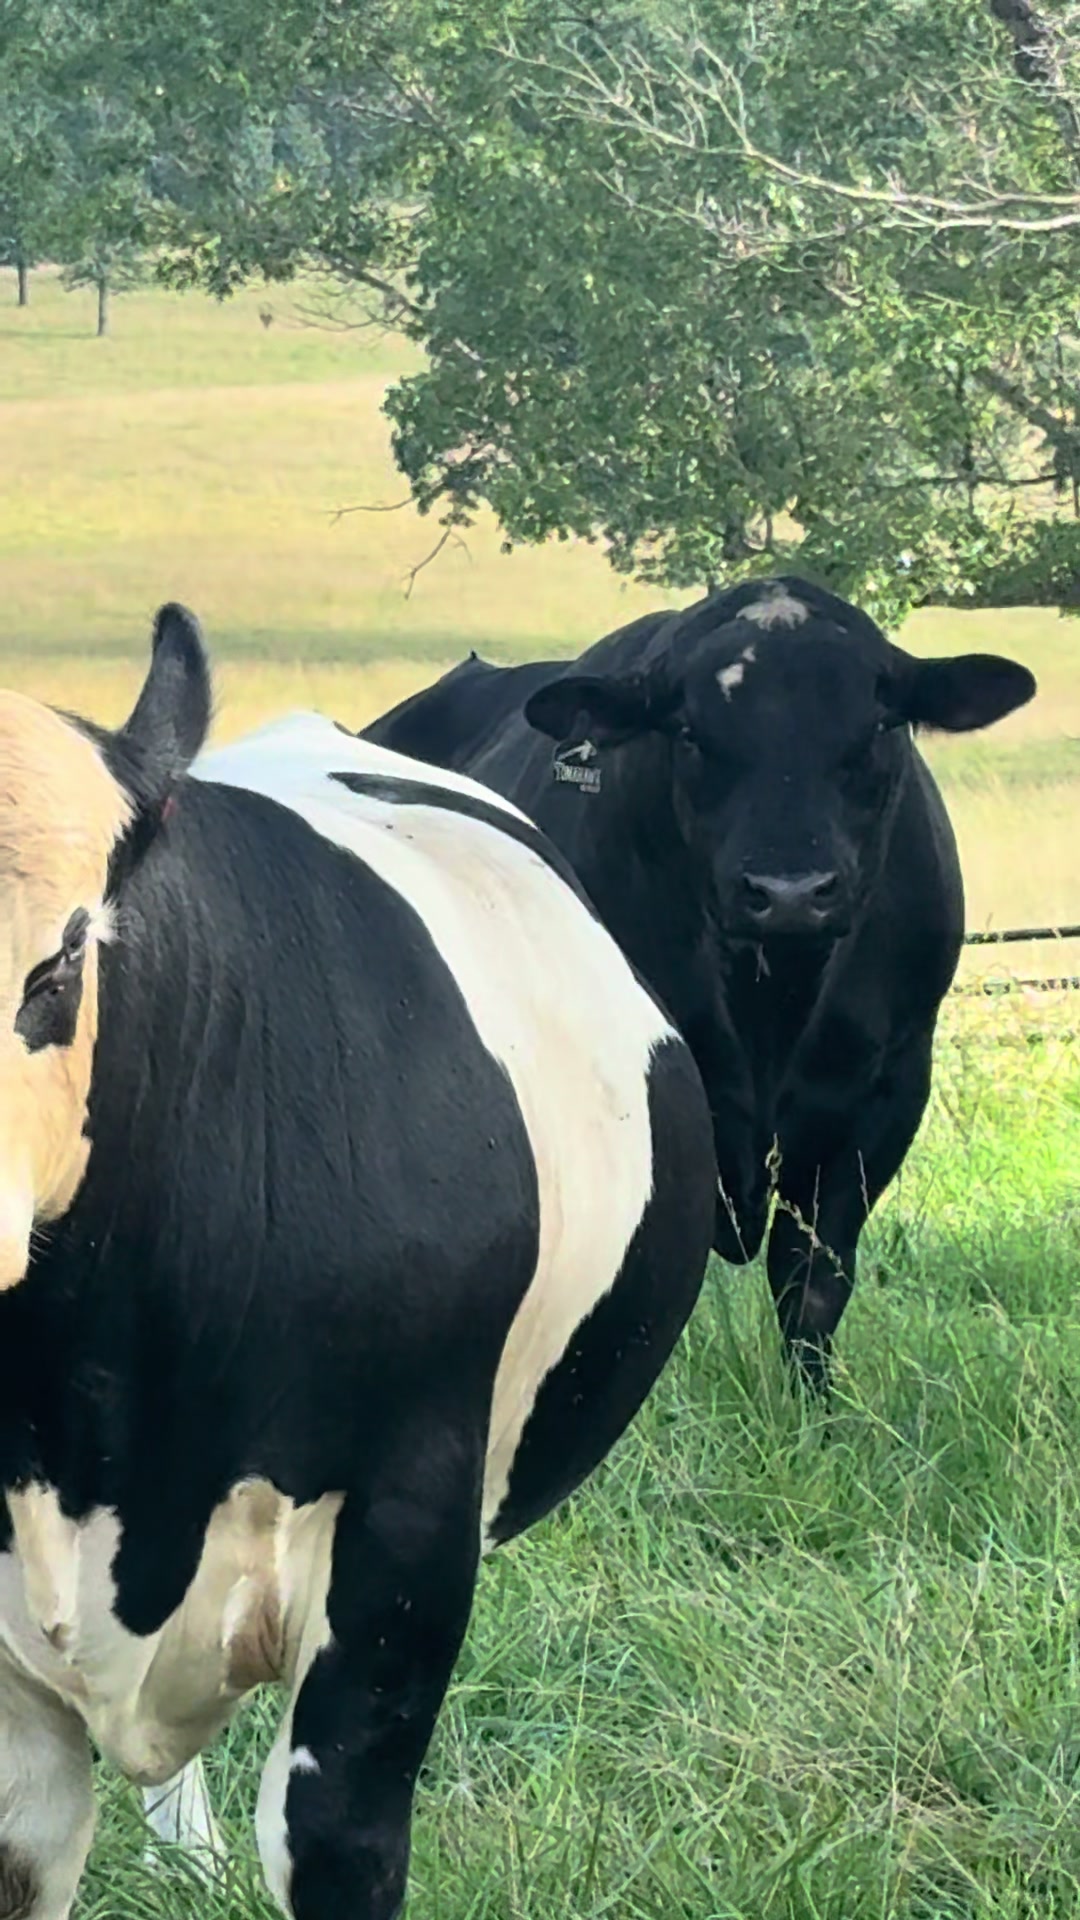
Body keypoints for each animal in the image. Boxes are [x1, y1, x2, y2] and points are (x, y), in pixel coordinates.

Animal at [365, 576, 1036, 1391]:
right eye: (687, 731)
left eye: (879, 725)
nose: (788, 891)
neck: (770, 1007)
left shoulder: (884, 1094)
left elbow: (812, 1280)